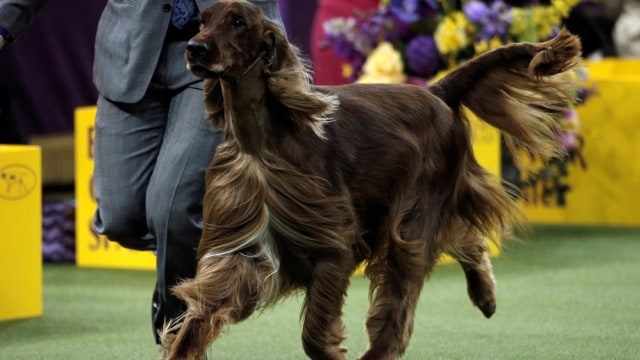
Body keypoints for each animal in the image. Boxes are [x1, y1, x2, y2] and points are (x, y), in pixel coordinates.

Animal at [161, 1, 584, 358]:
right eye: (203, 20)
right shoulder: (237, 245)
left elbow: (315, 334)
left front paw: (331, 349)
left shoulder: (333, 244)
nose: (195, 48)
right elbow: (201, 315)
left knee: (400, 302)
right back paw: (485, 296)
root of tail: (435, 92)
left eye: (237, 22)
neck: (260, 141)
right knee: (466, 240)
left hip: (411, 220)